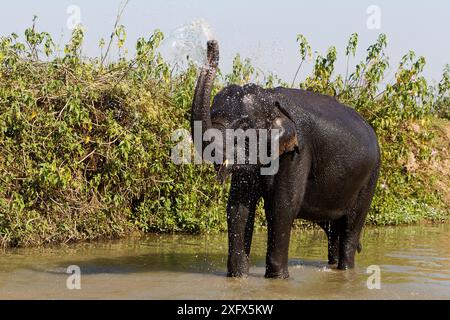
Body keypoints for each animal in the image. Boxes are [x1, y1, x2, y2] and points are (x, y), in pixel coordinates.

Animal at [192, 40, 382, 278]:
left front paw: (277, 279)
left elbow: (282, 206)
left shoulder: (298, 153)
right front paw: (237, 277)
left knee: (350, 227)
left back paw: (346, 269)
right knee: (334, 232)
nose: (211, 43)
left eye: (244, 126)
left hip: (371, 176)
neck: (271, 101)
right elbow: (238, 207)